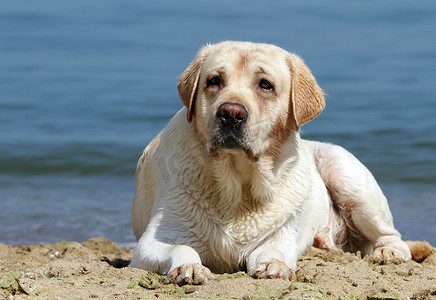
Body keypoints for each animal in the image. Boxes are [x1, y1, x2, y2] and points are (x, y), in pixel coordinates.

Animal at [129, 41, 412, 284]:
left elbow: (274, 253)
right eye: (214, 81)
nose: (230, 113)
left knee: (392, 235)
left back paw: (389, 253)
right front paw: (189, 267)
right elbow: (181, 246)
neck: (237, 188)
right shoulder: (152, 241)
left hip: (346, 173)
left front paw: (273, 265)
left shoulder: (279, 237)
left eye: (265, 84)